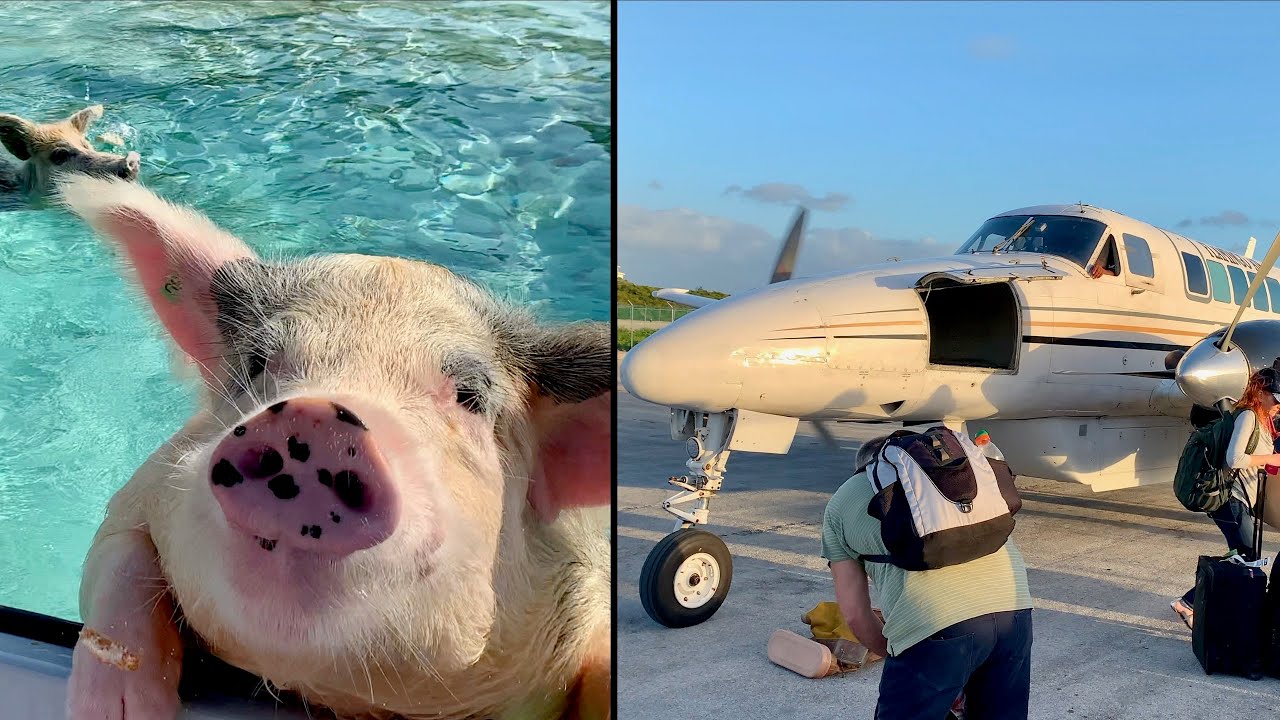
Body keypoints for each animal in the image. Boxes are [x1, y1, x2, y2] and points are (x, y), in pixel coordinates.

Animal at [57, 174, 612, 720]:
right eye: (257, 362)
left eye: (471, 398)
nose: (315, 416)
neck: (339, 694)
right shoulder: (143, 491)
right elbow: (116, 558)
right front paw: (112, 712)